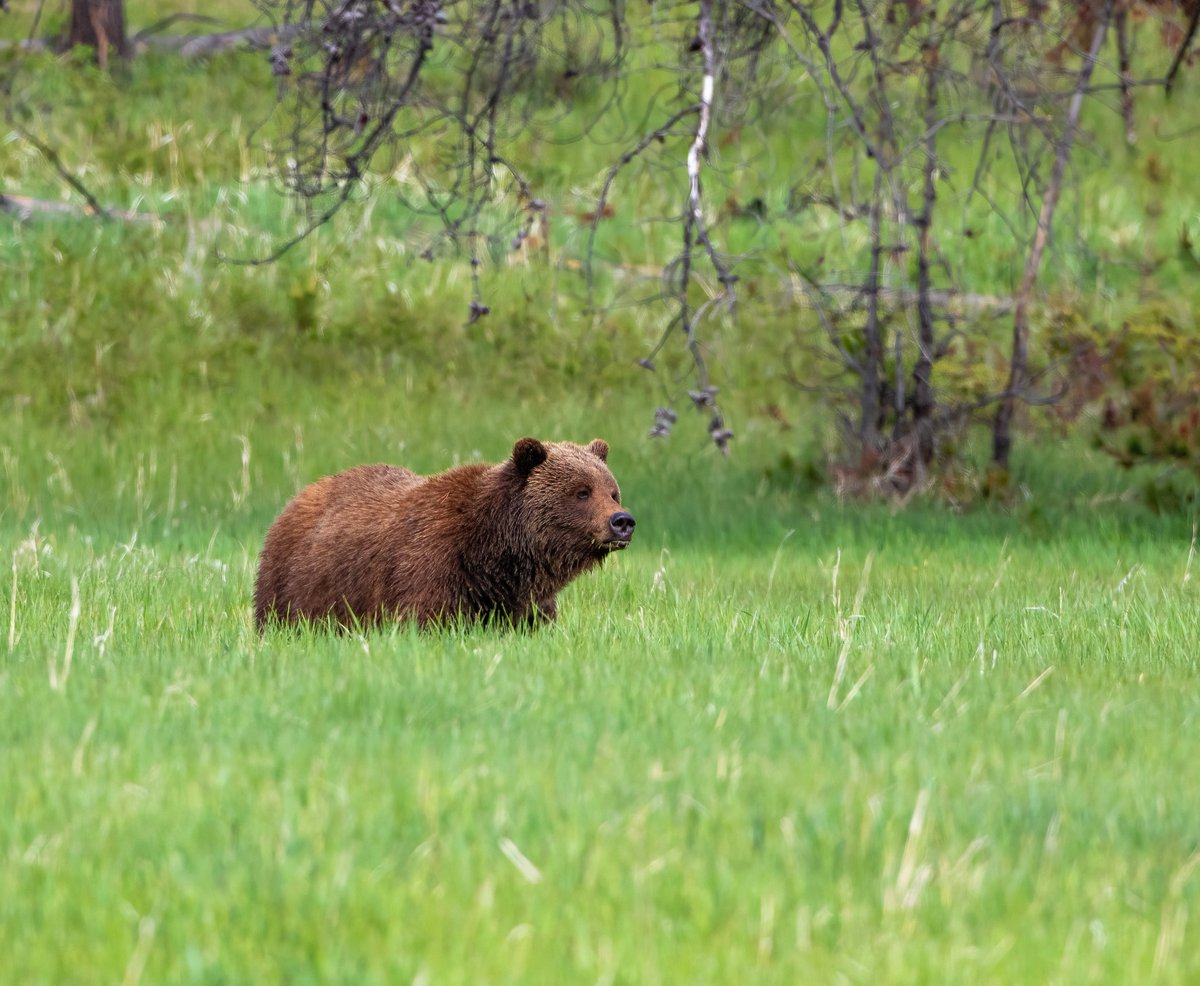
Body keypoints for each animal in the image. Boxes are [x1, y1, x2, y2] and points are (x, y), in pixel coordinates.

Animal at [254, 439, 638, 633]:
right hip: (294, 589)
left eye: (612, 491)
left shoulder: (522, 598)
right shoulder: (431, 568)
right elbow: (426, 621)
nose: (622, 521)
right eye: (582, 492)